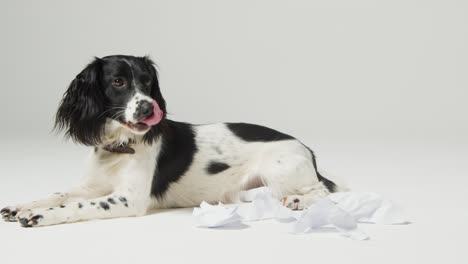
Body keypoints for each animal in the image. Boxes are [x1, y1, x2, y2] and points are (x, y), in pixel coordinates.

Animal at [0, 54, 340, 227]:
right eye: (118, 81)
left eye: (148, 80)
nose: (150, 108)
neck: (120, 147)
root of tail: (307, 148)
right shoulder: (90, 186)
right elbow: (58, 193)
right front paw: (21, 205)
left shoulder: (128, 199)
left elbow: (78, 205)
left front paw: (40, 215)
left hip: (280, 170)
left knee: (324, 191)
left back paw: (298, 200)